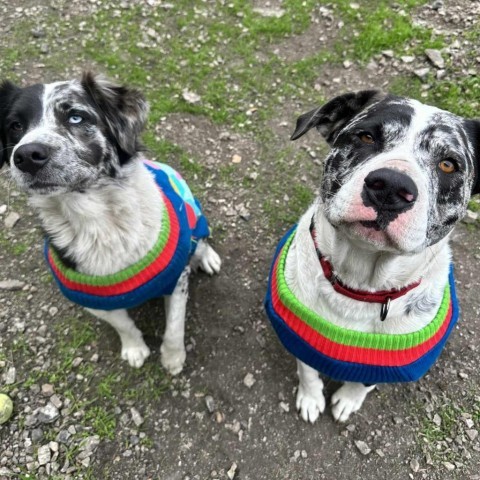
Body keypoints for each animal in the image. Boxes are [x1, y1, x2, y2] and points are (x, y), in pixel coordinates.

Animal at [0, 72, 221, 376]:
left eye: (76, 117)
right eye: (15, 125)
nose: (26, 156)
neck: (101, 223)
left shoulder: (177, 279)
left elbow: (175, 327)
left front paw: (173, 359)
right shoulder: (90, 298)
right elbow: (123, 324)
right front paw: (135, 349)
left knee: (202, 242)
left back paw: (208, 257)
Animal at [264, 90, 480, 420]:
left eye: (448, 164)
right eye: (366, 136)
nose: (391, 186)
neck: (359, 285)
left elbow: (363, 382)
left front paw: (348, 399)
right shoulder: (298, 335)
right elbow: (308, 370)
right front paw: (311, 398)